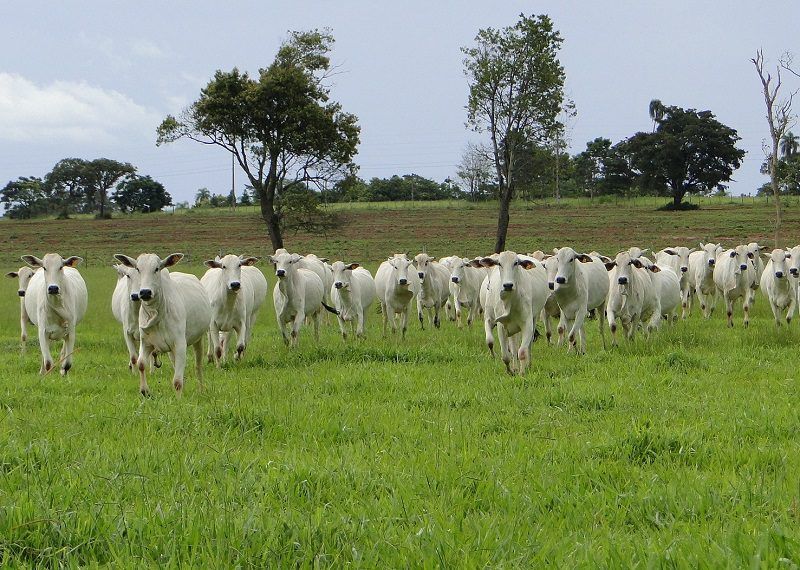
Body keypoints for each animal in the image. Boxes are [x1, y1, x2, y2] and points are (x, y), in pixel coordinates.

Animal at [115, 253, 211, 394]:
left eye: (157, 268)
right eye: (138, 269)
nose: (145, 292)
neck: (157, 313)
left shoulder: (180, 344)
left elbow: (177, 381)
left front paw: (178, 397)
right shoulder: (145, 342)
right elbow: (141, 363)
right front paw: (145, 391)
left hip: (198, 339)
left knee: (198, 365)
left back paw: (201, 389)